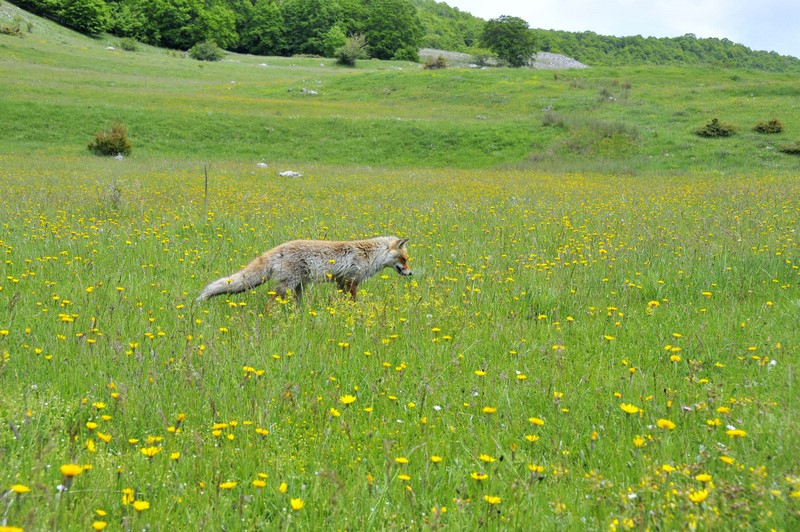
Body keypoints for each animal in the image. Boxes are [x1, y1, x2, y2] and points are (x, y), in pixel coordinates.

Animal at [198, 235, 412, 302]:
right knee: (269, 304)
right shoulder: (352, 281)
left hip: (298, 287)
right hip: (288, 285)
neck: (370, 255)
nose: (410, 273)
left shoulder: (341, 282)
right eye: (404, 259)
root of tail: (279, 248)